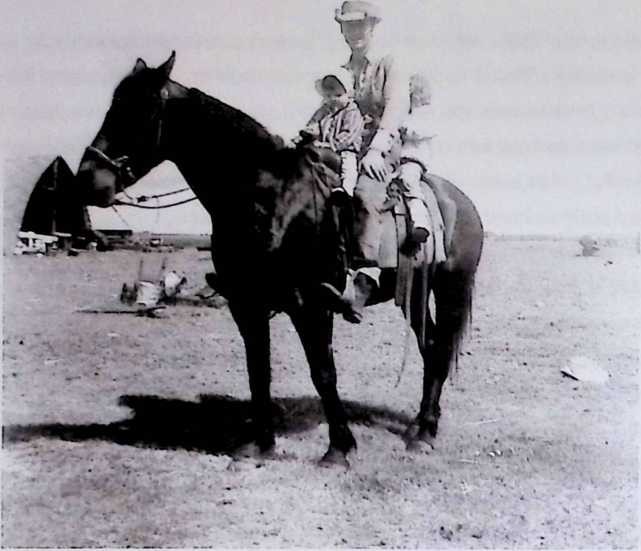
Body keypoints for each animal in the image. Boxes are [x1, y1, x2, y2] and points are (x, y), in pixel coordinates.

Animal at [75, 50, 482, 466]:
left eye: (137, 111)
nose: (88, 180)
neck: (267, 195)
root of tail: (460, 201)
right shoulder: (246, 303)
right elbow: (259, 371)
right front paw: (261, 444)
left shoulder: (311, 304)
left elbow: (323, 372)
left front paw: (339, 448)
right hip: (412, 295)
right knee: (431, 346)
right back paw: (419, 427)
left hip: (450, 290)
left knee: (439, 348)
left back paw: (425, 432)